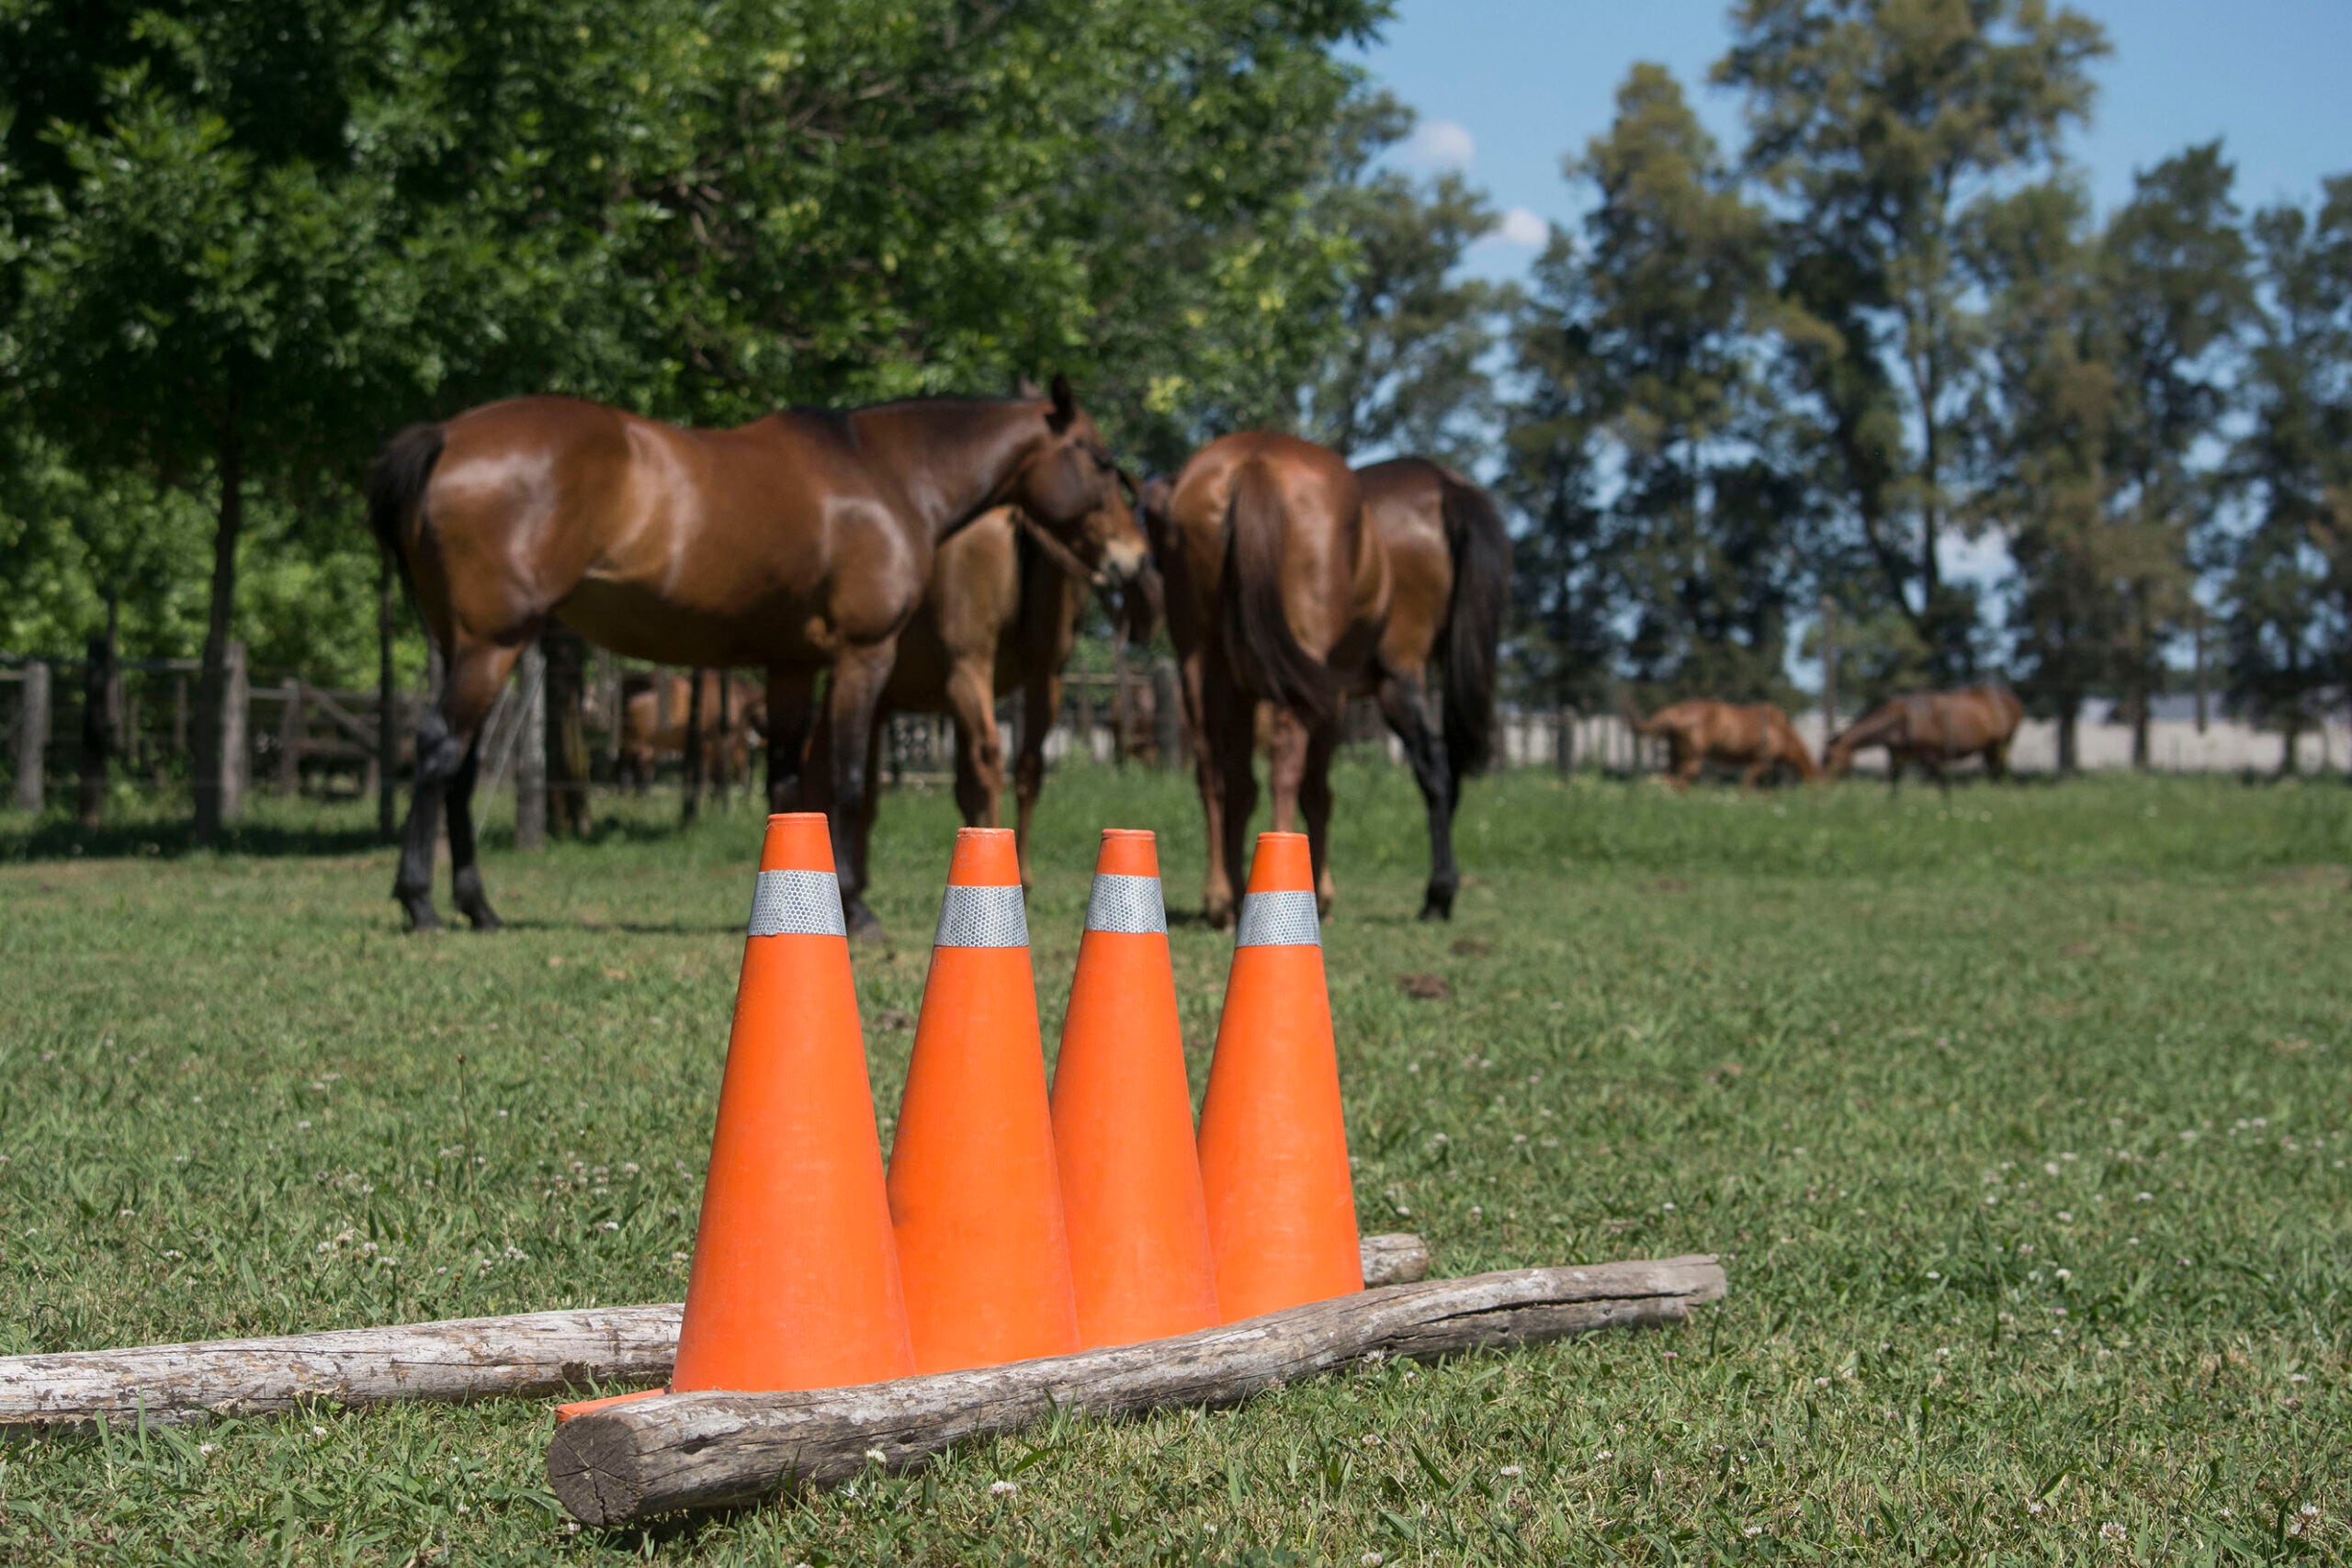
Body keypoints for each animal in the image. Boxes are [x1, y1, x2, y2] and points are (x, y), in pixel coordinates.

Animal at [367, 376, 1138, 931]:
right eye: (1101, 459)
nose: (1131, 561)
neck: (885, 474)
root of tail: (446, 434)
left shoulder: (790, 666)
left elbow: (789, 786)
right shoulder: (862, 658)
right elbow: (848, 782)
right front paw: (855, 905)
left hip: (466, 645)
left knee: (460, 767)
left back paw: (478, 907)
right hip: (491, 645)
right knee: (439, 750)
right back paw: (421, 902)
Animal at [1152, 434, 1505, 926]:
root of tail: (1257, 457)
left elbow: (1247, 783)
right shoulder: (1331, 693)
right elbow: (1317, 790)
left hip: (1201, 661)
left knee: (1216, 772)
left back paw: (1223, 896)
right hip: (1388, 676)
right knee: (1429, 765)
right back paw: (1436, 892)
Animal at [1627, 700, 1825, 789]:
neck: (1782, 731)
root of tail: (1677, 712)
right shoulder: (1759, 762)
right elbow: (1747, 785)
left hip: (1677, 756)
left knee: (1670, 779)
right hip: (1692, 758)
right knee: (1680, 781)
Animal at [1815, 682, 2022, 784]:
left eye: (1829, 759)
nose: (1821, 784)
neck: (1900, 719)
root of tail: (2010, 697)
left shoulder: (1933, 756)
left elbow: (1943, 786)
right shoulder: (1897, 755)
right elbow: (1894, 787)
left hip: (2003, 744)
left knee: (2001, 772)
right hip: (1990, 748)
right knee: (1994, 772)